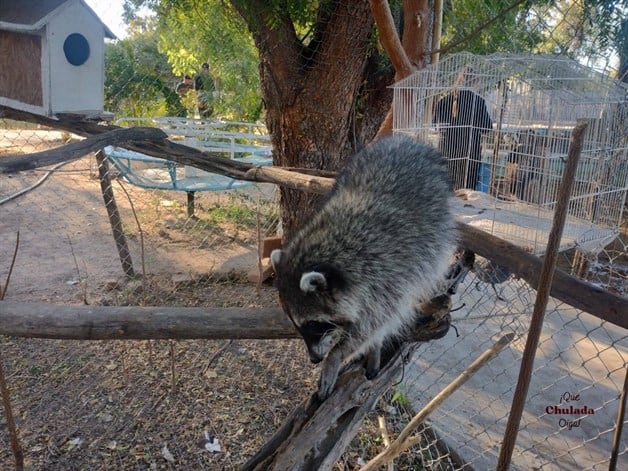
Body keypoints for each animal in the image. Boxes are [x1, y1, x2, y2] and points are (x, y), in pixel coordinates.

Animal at [270, 135, 456, 400]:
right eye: (296, 324)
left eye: (313, 324)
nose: (314, 359)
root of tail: (407, 140)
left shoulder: (390, 277)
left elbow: (374, 324)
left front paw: (336, 356)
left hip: (438, 222)